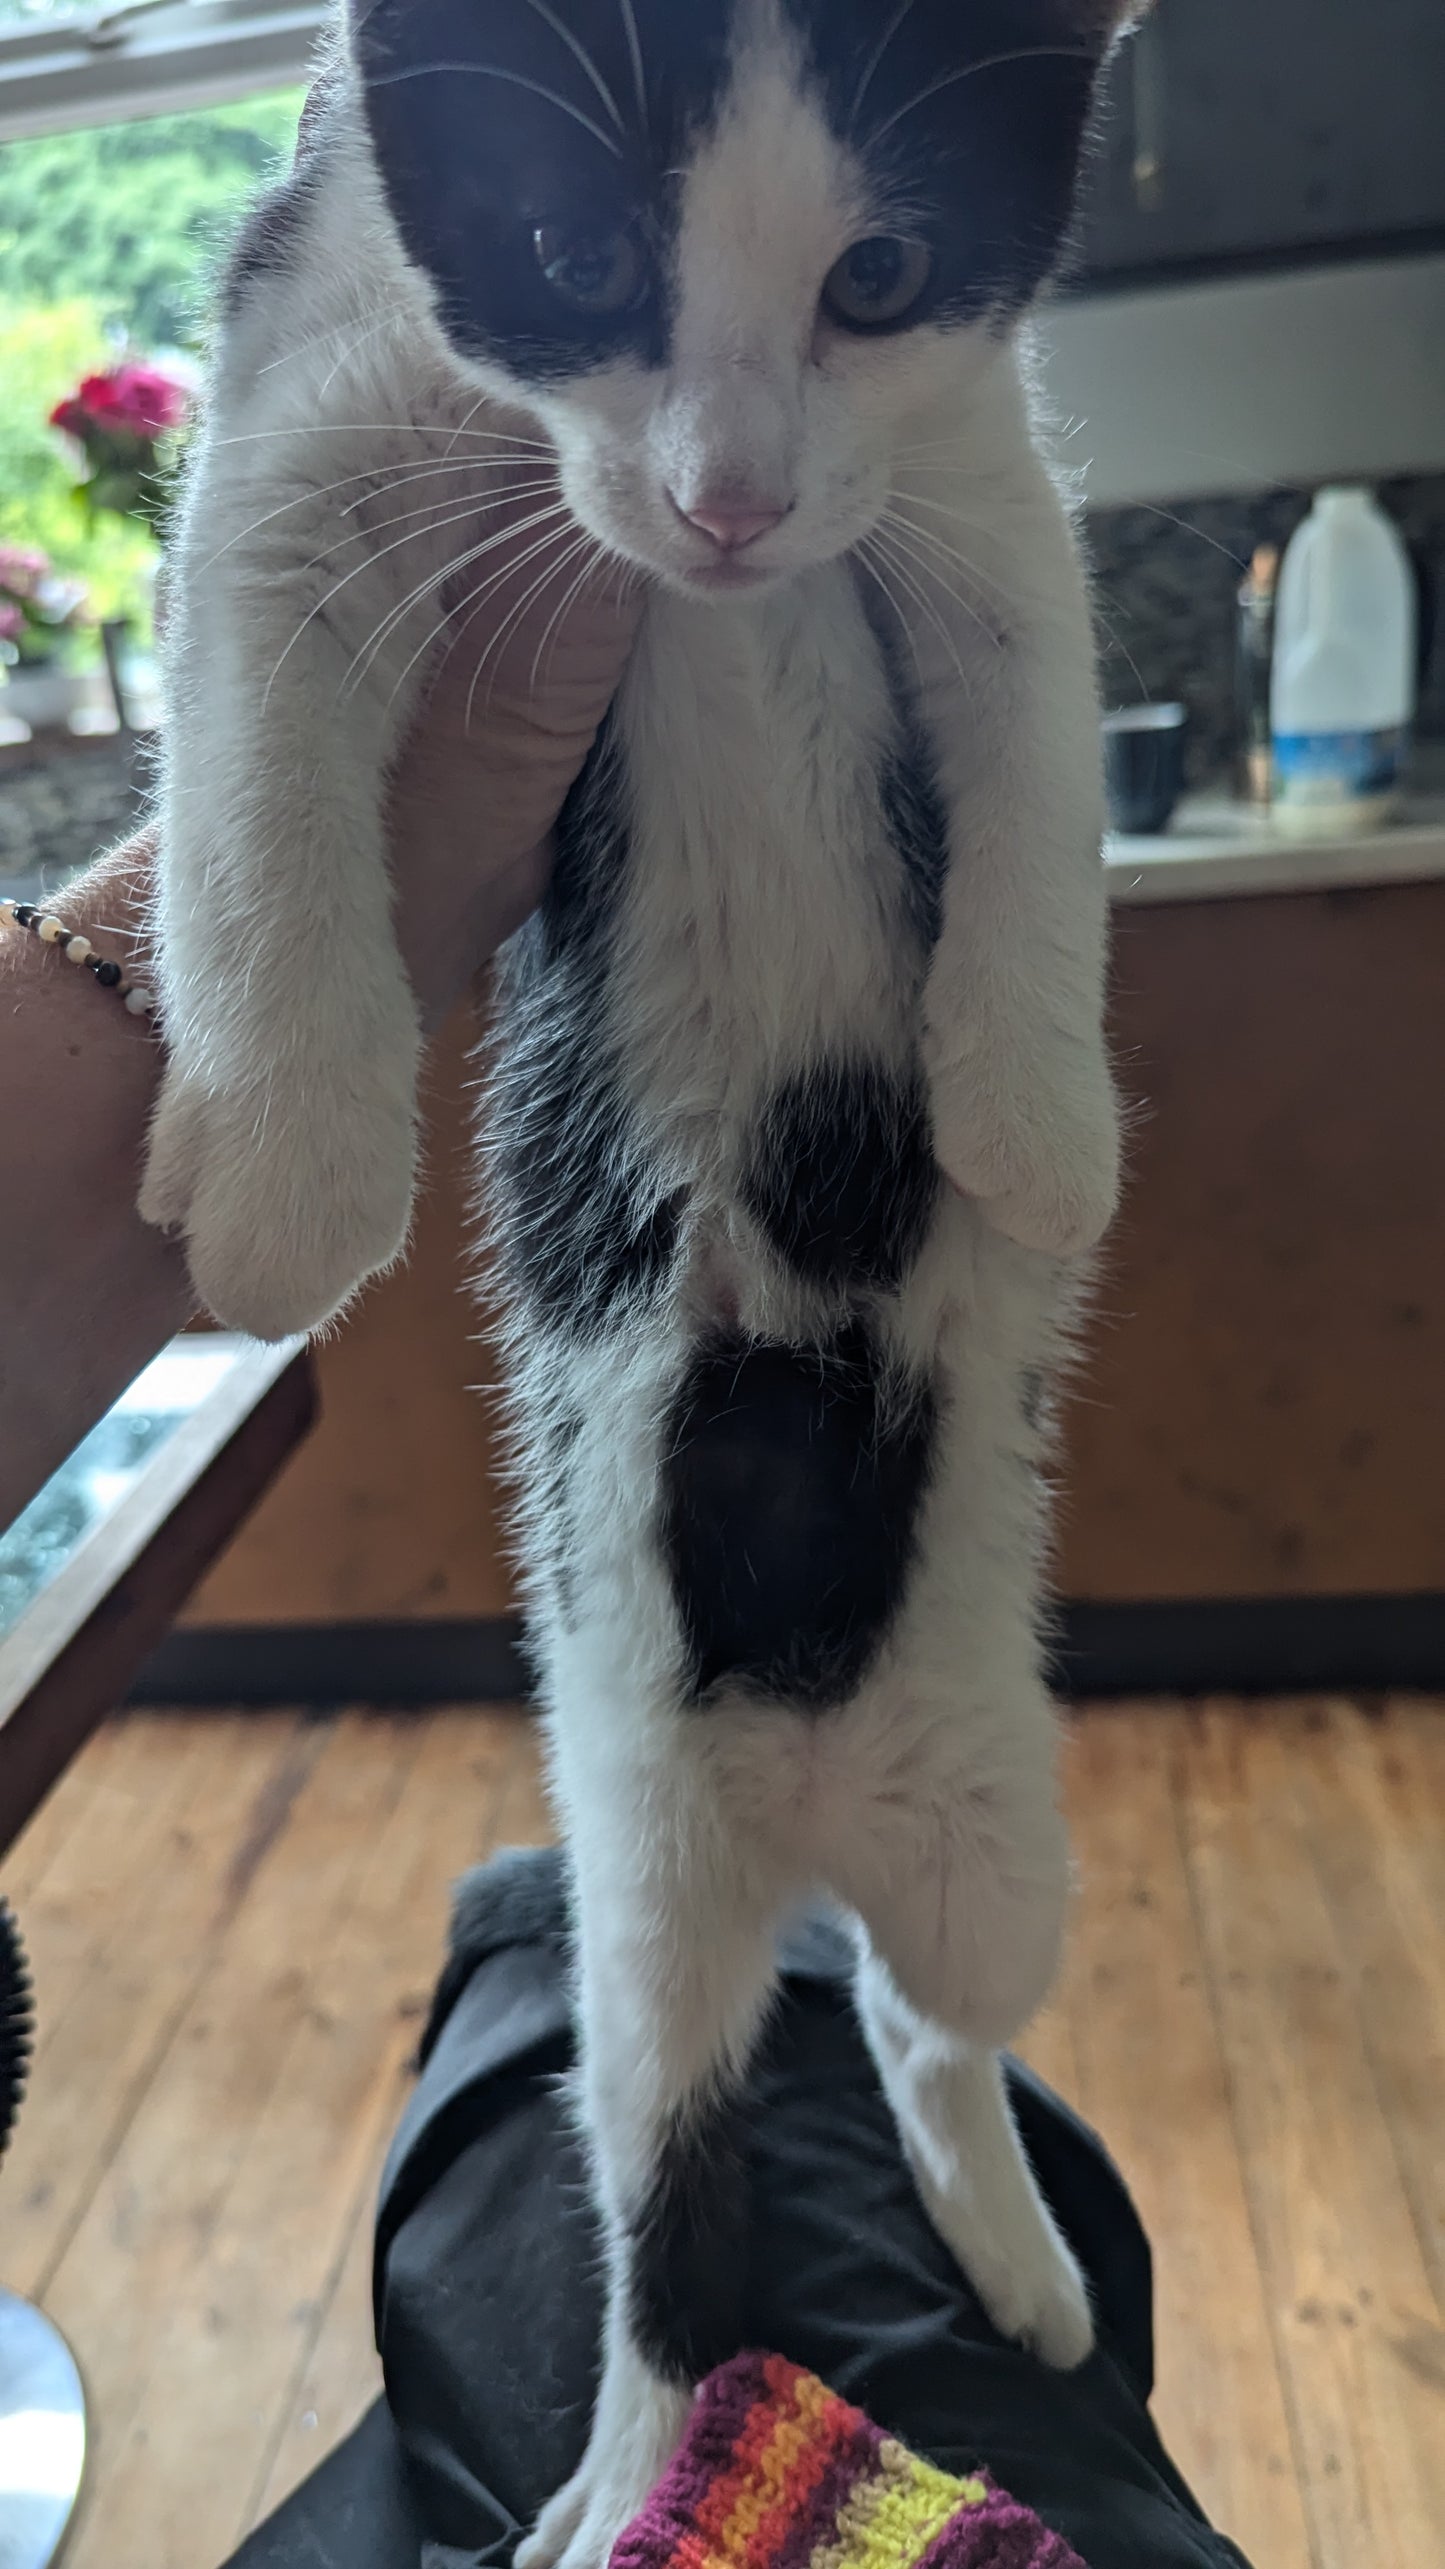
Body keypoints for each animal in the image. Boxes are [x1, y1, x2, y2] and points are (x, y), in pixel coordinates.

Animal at [149, 10, 1136, 2558]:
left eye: (875, 273)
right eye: (574, 256)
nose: (726, 509)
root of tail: (804, 1790)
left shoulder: (964, 462)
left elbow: (1032, 709)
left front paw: (1035, 1120)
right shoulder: (314, 372)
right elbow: (252, 711)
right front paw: (284, 1161)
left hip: (996, 1833)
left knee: (923, 2008)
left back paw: (1005, 2252)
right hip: (632, 1877)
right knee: (667, 2167)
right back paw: (626, 2465)